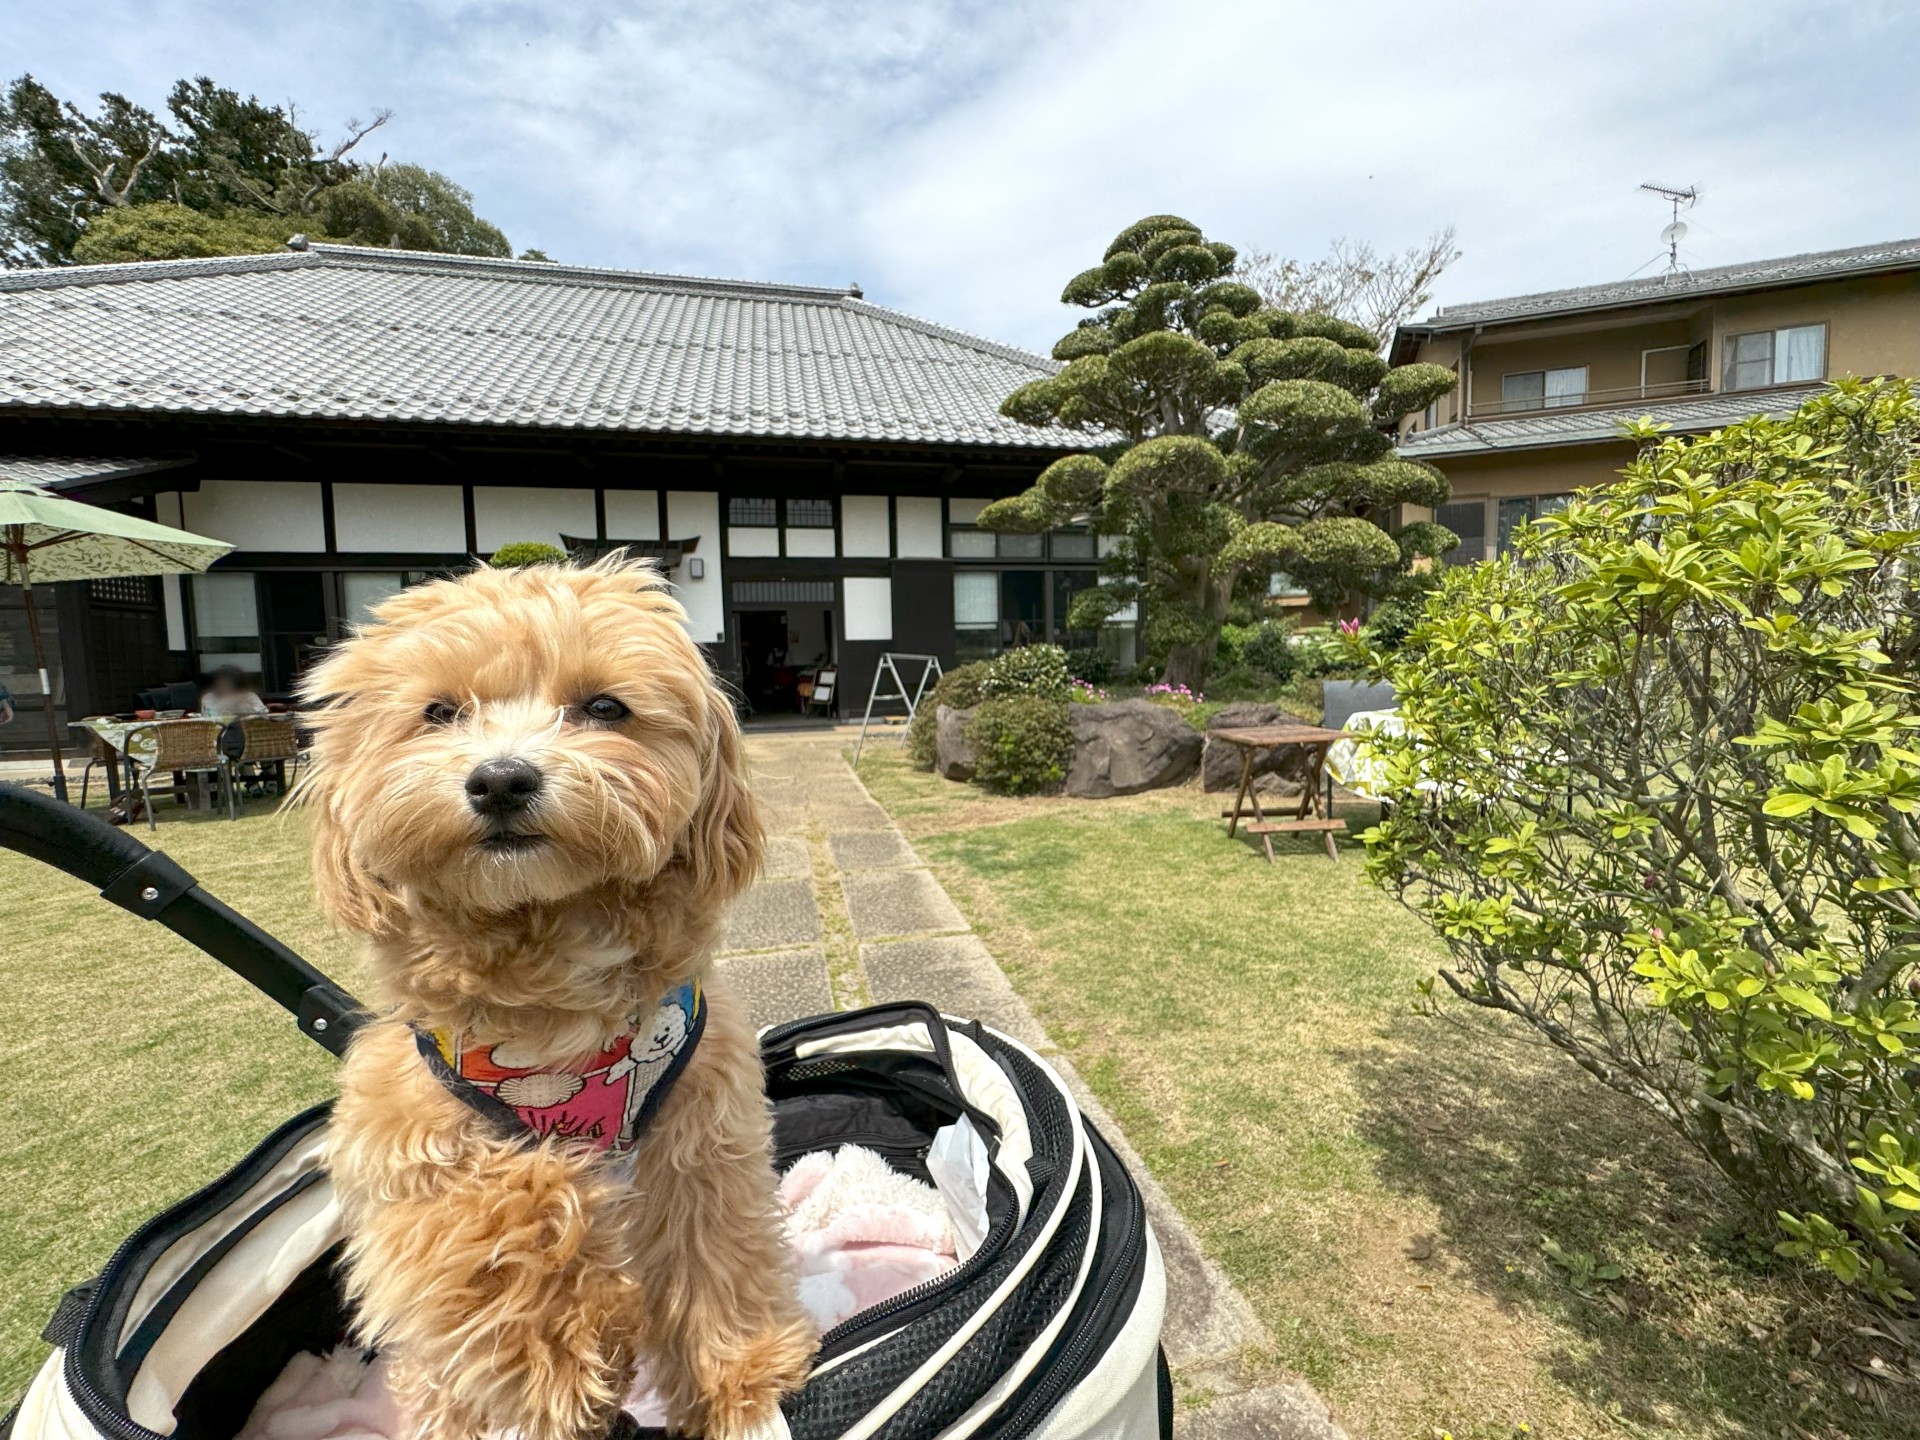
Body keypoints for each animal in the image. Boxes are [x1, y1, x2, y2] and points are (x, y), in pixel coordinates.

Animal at [295, 560, 814, 1440]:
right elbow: (497, 1204)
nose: (501, 778)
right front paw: (572, 1351)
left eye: (604, 707)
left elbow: (714, 1251)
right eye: (439, 712)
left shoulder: (704, 1129)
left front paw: (738, 1380)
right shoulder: (402, 1131)